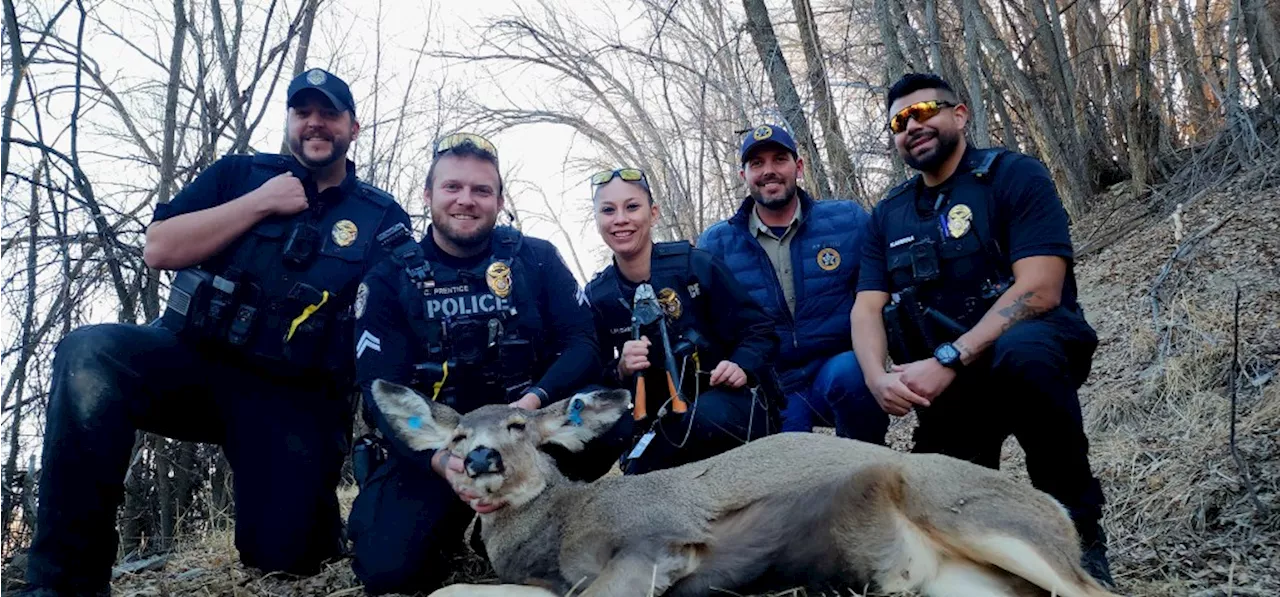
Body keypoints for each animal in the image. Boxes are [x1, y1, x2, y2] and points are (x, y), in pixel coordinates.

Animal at [366, 379, 1126, 594]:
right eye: (455, 437)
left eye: (521, 425)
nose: (480, 458)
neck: (562, 530)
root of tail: (1053, 509)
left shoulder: (650, 543)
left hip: (969, 511)